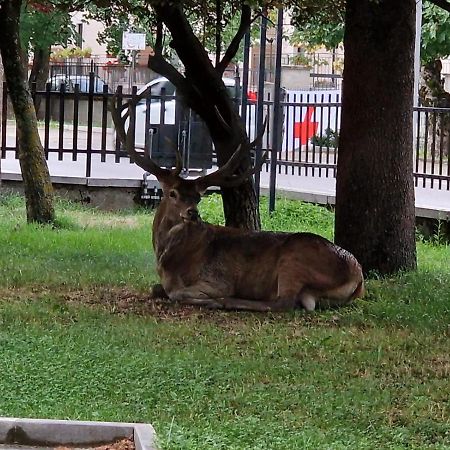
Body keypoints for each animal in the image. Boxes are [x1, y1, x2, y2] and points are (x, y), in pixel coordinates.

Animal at [110, 98, 364, 312]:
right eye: (173, 193)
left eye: (198, 197)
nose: (193, 213)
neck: (168, 261)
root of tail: (358, 275)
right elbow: (156, 288)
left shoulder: (217, 279)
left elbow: (178, 293)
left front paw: (207, 298)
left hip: (294, 260)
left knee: (282, 303)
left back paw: (226, 301)